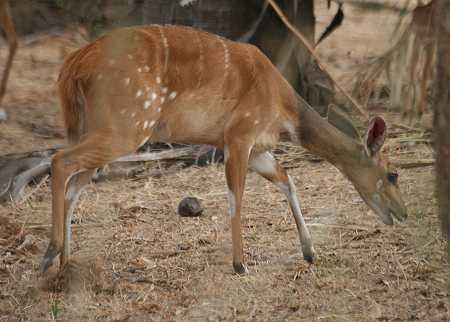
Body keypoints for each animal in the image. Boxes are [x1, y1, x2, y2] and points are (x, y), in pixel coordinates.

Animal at [41, 25, 408, 274]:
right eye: (393, 173)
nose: (403, 213)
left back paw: (66, 264)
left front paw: (310, 252)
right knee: (59, 161)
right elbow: (236, 197)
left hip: (100, 131)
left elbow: (286, 180)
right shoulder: (237, 136)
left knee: (73, 183)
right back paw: (50, 254)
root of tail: (72, 65)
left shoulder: (258, 149)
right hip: (126, 127)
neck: (284, 108)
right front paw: (240, 264)